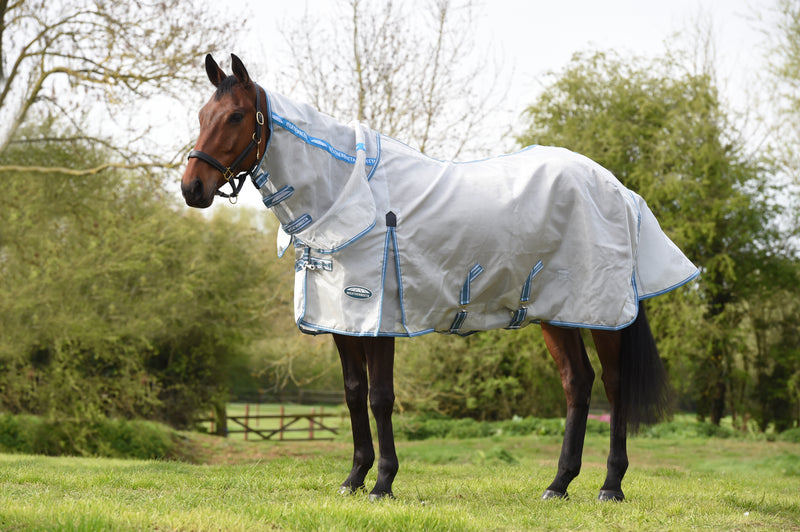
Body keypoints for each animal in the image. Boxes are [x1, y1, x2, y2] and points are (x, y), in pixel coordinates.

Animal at [181, 53, 699, 502]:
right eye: (203, 113)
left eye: (236, 116)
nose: (192, 189)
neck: (347, 194)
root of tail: (618, 190)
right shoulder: (343, 323)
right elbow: (352, 395)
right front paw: (353, 478)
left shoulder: (379, 321)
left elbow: (380, 397)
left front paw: (383, 483)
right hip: (556, 312)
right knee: (578, 382)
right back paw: (558, 484)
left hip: (603, 313)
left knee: (614, 384)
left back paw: (610, 485)